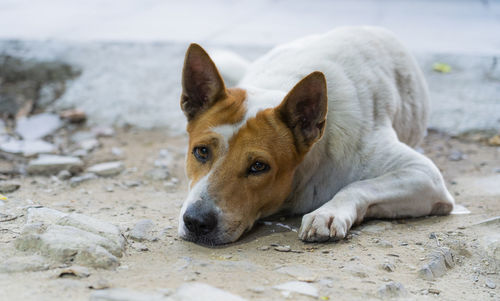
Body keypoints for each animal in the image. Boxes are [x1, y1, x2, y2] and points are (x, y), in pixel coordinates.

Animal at [178, 27, 456, 245]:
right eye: (201, 152)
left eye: (258, 166)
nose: (196, 221)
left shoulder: (424, 175)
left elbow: (358, 185)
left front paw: (328, 213)